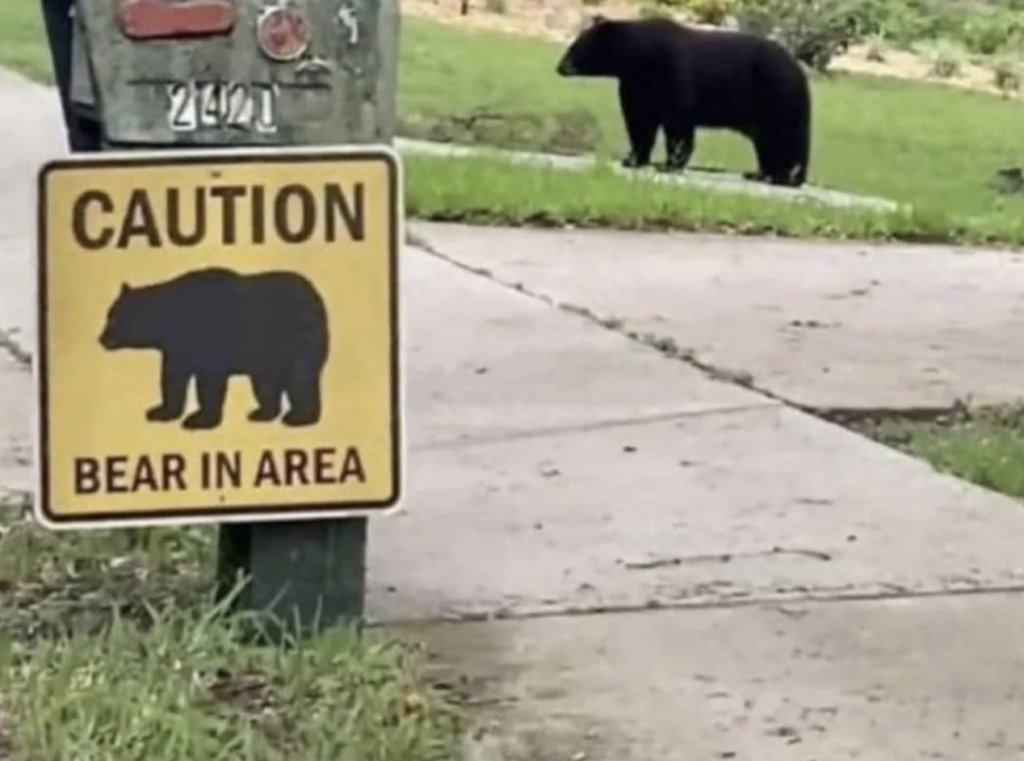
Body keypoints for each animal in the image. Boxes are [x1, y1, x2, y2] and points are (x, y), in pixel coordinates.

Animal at [99, 270, 327, 432]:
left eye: (114, 318)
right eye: (109, 315)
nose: (101, 339)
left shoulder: (209, 340)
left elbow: (209, 381)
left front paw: (199, 420)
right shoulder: (176, 349)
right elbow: (173, 378)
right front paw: (160, 412)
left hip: (297, 341)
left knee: (300, 379)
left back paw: (299, 418)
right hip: (267, 358)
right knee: (266, 384)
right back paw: (262, 413)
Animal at [557, 14, 811, 187]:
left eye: (575, 47)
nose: (560, 67)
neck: (639, 57)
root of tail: (799, 68)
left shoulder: (671, 72)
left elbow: (677, 121)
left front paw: (670, 164)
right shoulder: (636, 85)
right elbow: (640, 121)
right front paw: (633, 159)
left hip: (778, 94)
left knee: (787, 137)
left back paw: (786, 177)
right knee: (767, 142)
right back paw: (760, 173)